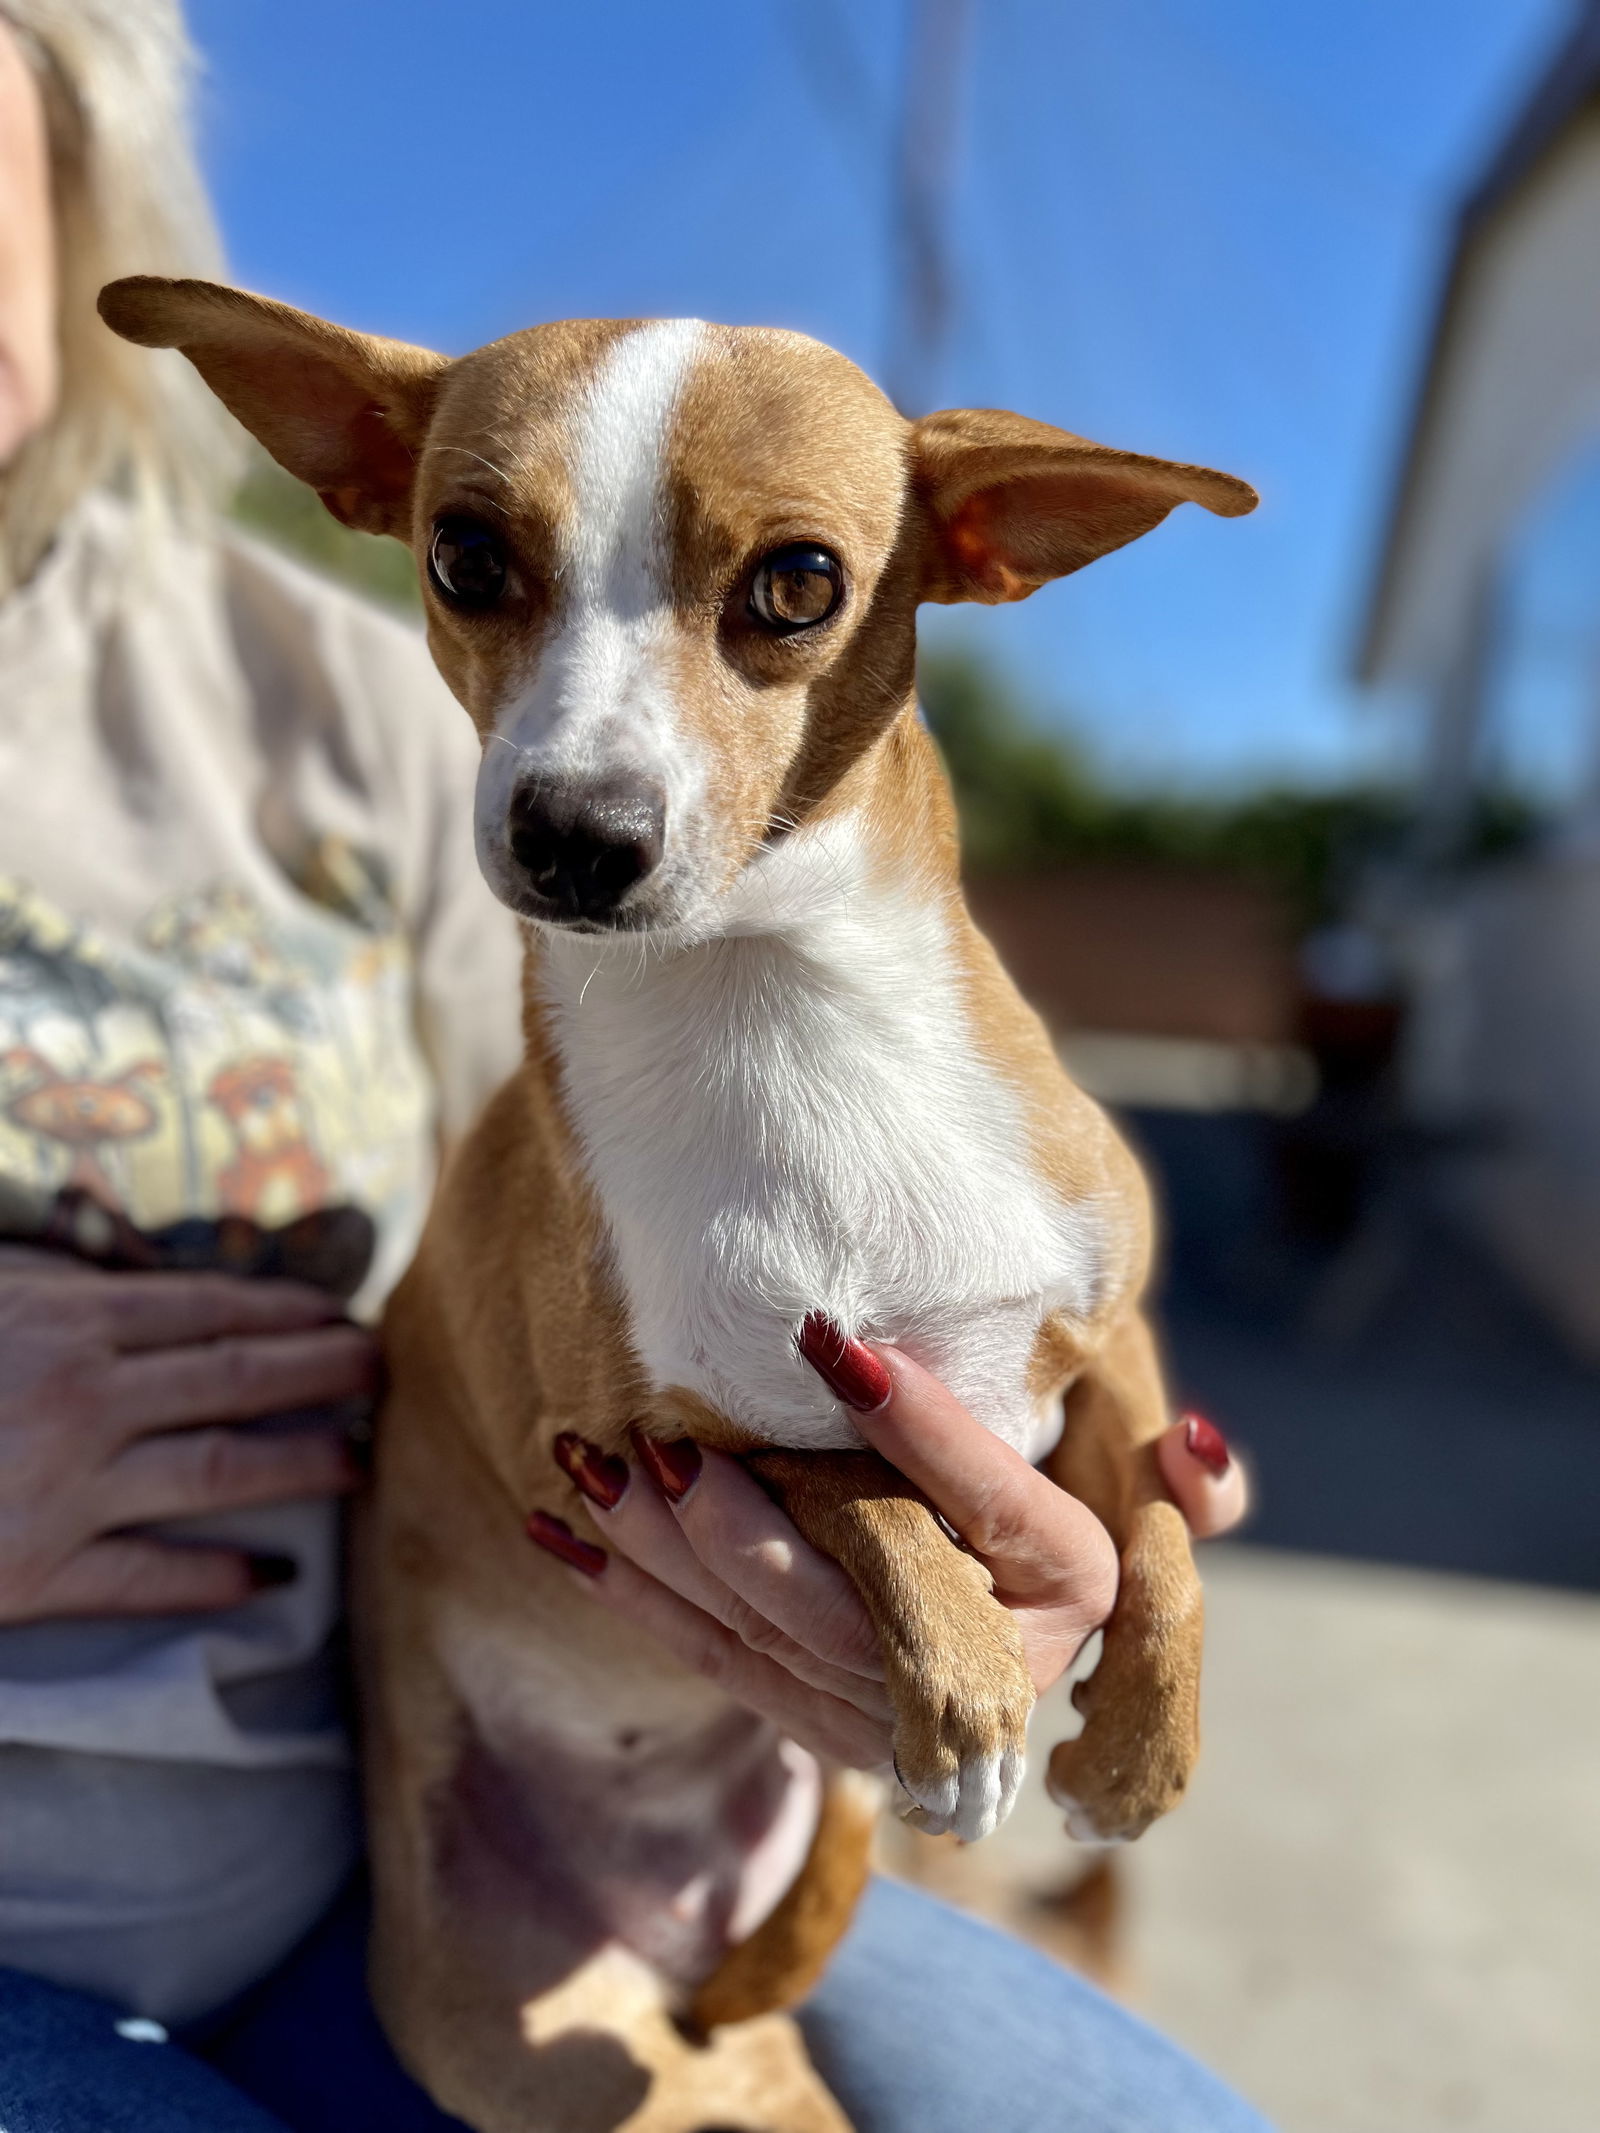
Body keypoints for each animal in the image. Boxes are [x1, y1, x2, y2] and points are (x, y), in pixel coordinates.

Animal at [103, 279, 1262, 2133]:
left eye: (797, 584)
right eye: (463, 556)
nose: (574, 831)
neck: (784, 1013)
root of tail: (662, 1937)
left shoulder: (1105, 1334)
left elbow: (1158, 1513)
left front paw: (1141, 1745)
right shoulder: (666, 1435)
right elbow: (858, 1479)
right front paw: (967, 1684)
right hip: (559, 2054)